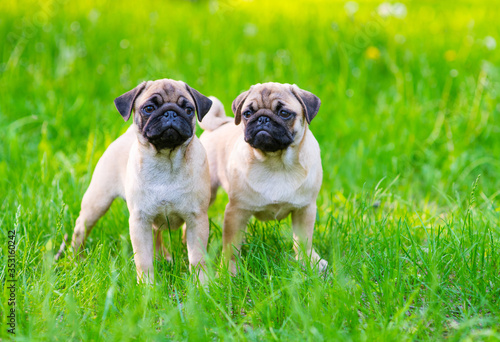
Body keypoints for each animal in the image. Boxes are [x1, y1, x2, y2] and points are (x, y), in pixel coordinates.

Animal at [70, 78, 213, 284]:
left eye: (188, 110)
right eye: (149, 108)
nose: (171, 113)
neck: (166, 160)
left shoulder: (197, 220)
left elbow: (197, 258)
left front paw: (201, 285)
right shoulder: (140, 220)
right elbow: (143, 260)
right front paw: (147, 286)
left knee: (158, 235)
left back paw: (164, 258)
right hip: (96, 203)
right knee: (81, 228)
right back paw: (76, 259)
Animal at [199, 82, 328, 272]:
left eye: (284, 113)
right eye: (247, 113)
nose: (263, 119)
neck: (276, 163)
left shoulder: (304, 209)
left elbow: (304, 241)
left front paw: (309, 263)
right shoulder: (236, 211)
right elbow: (231, 246)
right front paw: (229, 271)